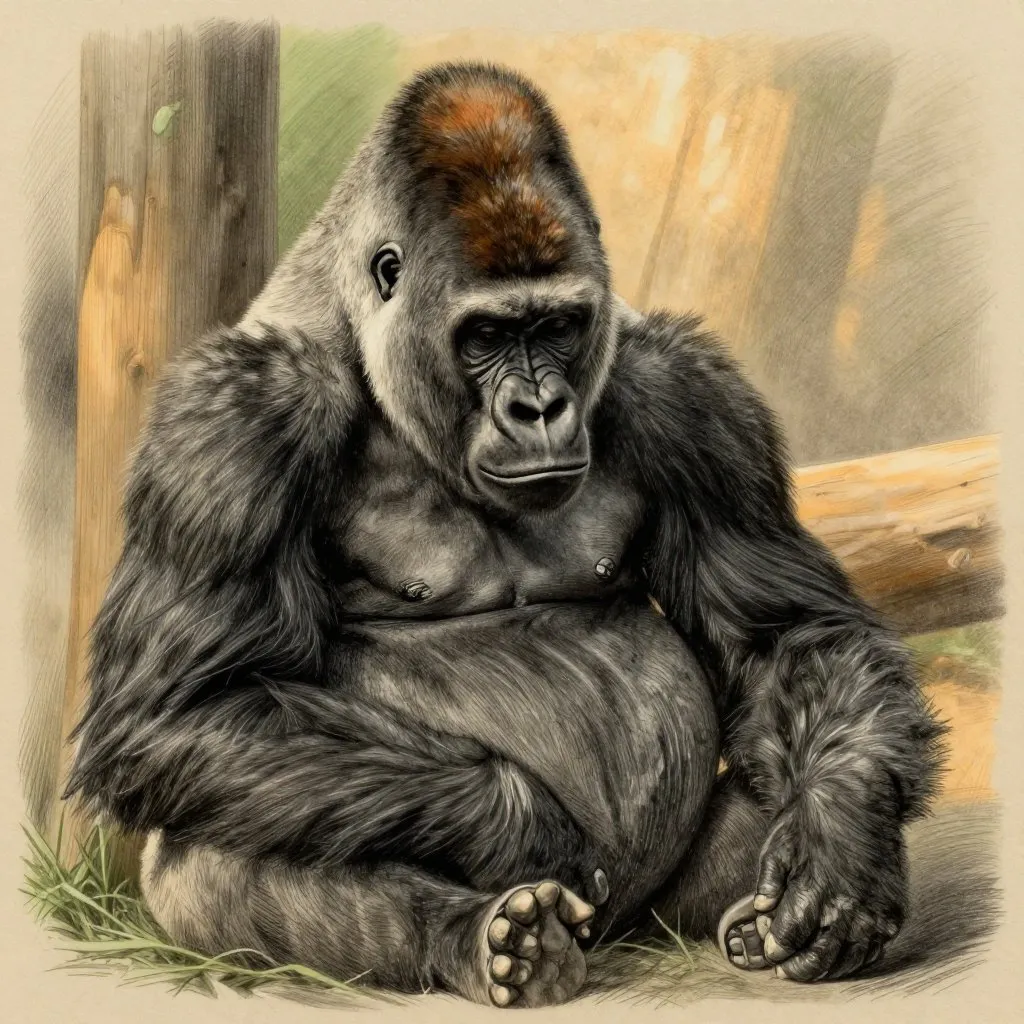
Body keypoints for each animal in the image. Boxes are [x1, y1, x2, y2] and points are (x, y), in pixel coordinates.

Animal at [64, 62, 945, 1008]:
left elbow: (787, 638)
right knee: (217, 851)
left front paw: (841, 843)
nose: (540, 407)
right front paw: (524, 825)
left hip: (656, 913)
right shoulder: (233, 420)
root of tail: (624, 939)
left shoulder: (690, 393)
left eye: (555, 326)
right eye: (487, 334)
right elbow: (179, 710)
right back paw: (495, 937)